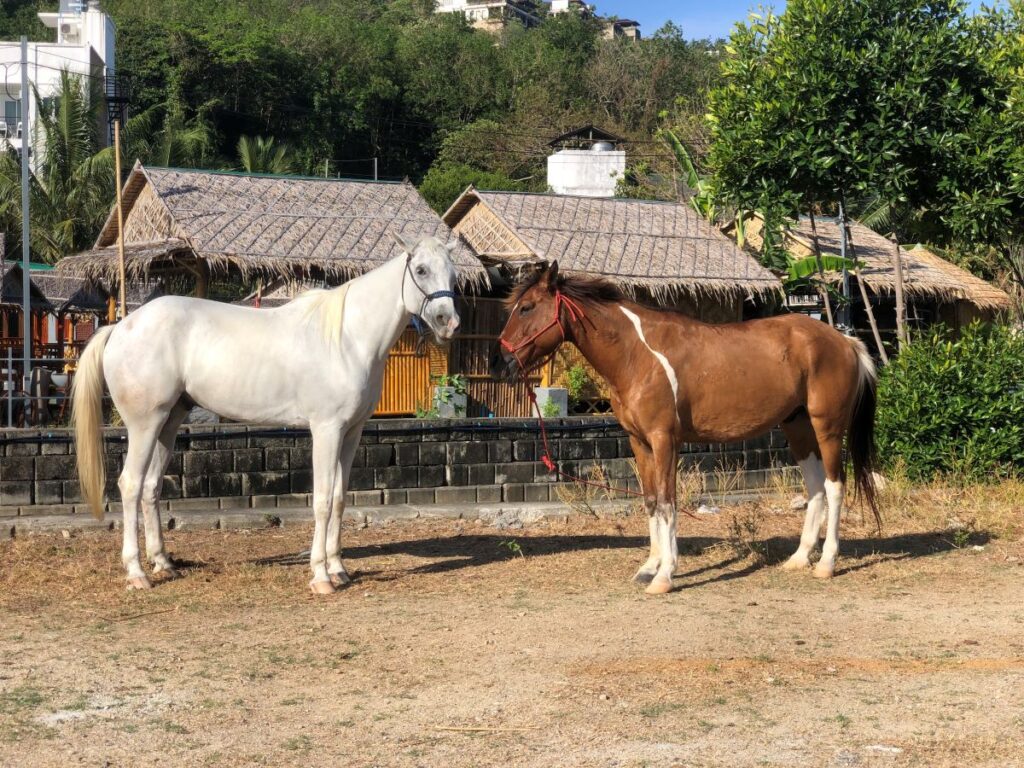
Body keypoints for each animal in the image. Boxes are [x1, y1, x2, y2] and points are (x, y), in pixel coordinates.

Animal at [77, 234, 462, 593]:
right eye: (420, 270)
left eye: (453, 273)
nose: (449, 322)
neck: (347, 339)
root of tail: (121, 327)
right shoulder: (326, 429)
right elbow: (323, 500)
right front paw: (321, 576)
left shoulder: (352, 432)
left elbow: (339, 498)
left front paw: (339, 569)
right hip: (145, 424)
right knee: (130, 484)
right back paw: (137, 572)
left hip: (169, 422)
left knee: (151, 487)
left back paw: (163, 563)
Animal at [491, 264, 876, 593]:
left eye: (526, 308)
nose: (499, 361)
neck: (638, 355)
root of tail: (845, 342)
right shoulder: (639, 442)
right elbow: (649, 501)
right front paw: (650, 566)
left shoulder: (665, 441)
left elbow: (667, 502)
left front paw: (665, 575)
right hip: (797, 427)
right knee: (815, 487)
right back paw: (798, 558)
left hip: (828, 428)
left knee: (835, 486)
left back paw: (826, 563)